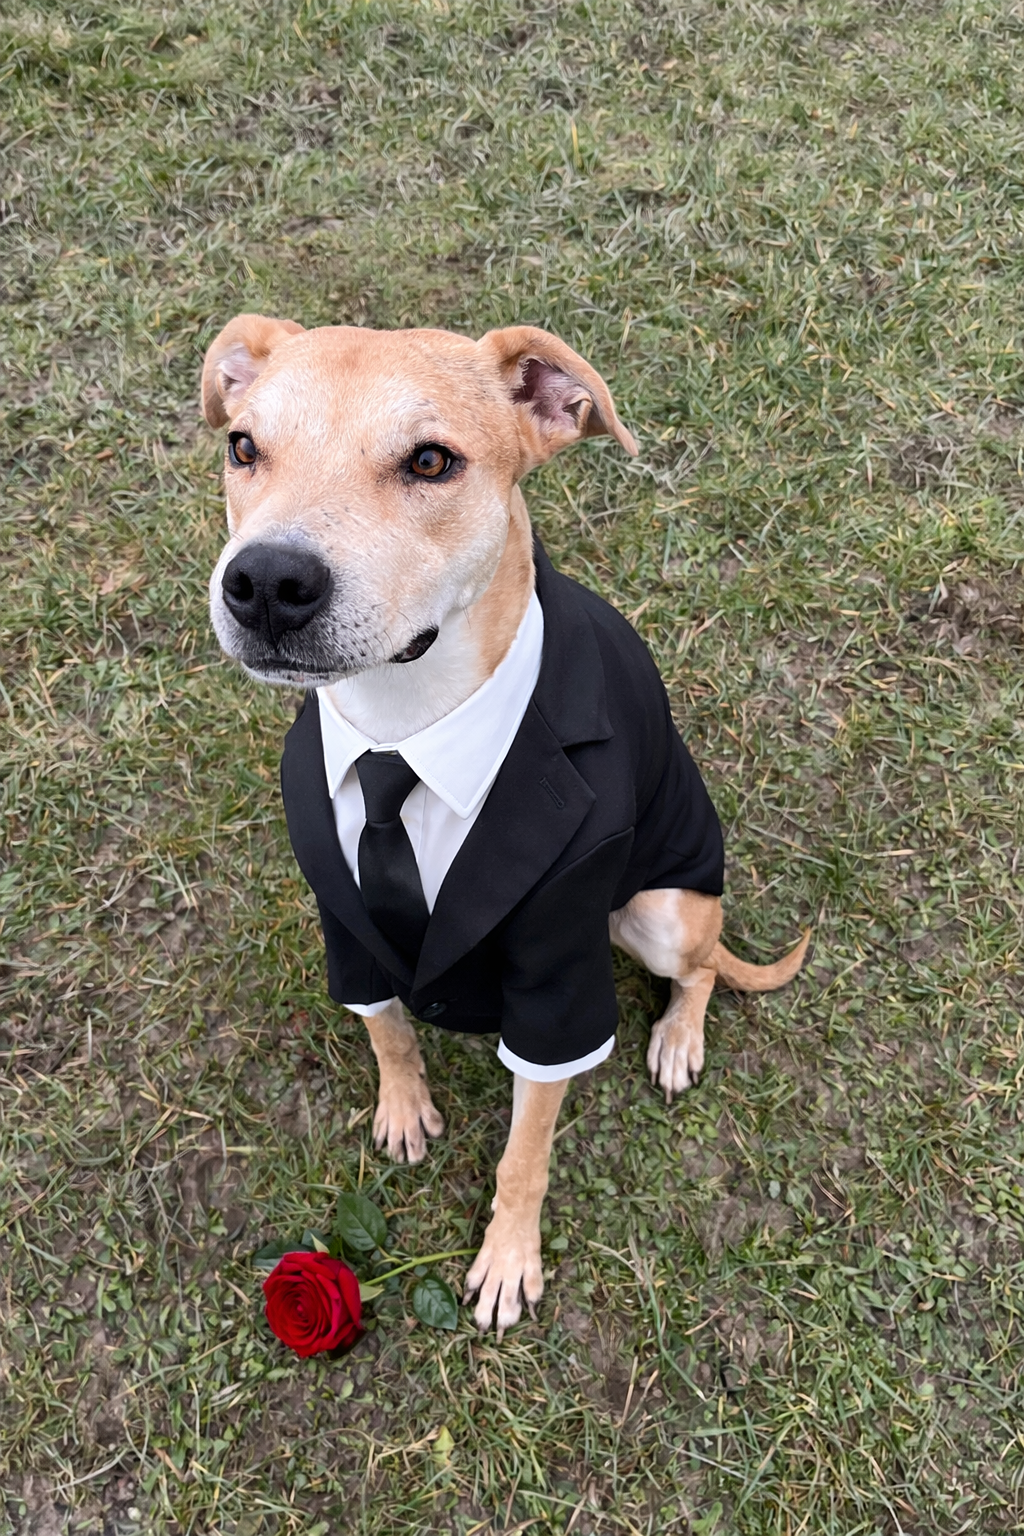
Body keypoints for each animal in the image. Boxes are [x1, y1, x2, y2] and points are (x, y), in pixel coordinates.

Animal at [202, 315, 809, 1336]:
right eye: (244, 447)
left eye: (431, 461)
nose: (267, 581)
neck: (405, 725)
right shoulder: (343, 921)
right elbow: (386, 1027)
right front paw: (403, 1103)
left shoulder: (557, 976)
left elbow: (525, 1153)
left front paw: (508, 1259)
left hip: (661, 907)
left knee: (698, 973)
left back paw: (677, 1039)